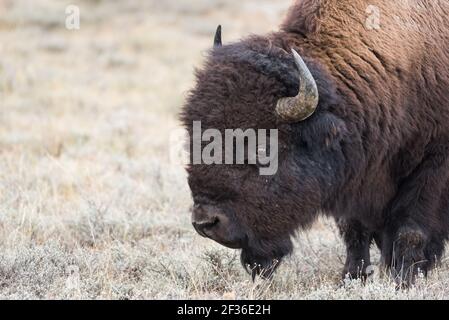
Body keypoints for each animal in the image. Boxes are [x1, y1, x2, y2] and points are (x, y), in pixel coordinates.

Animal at [180, 0, 448, 284]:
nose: (206, 223)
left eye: (263, 148)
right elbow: (354, 230)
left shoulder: (434, 167)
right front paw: (351, 277)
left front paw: (403, 281)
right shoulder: (355, 174)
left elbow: (411, 231)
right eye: (195, 140)